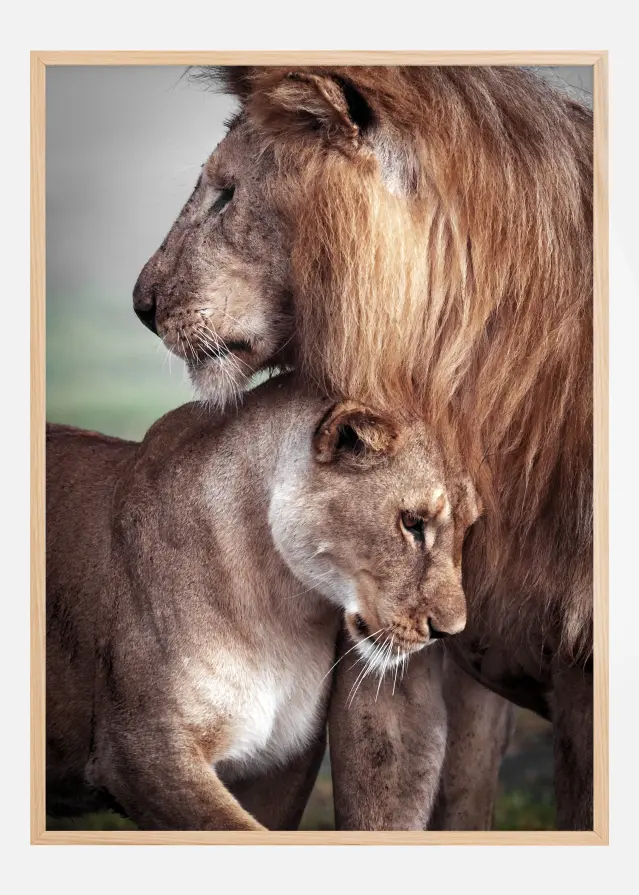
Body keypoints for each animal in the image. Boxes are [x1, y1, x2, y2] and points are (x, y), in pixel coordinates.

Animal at [46, 374, 481, 830]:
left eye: (469, 527)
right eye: (412, 523)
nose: (449, 631)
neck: (282, 611)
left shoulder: (278, 767)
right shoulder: (140, 750)